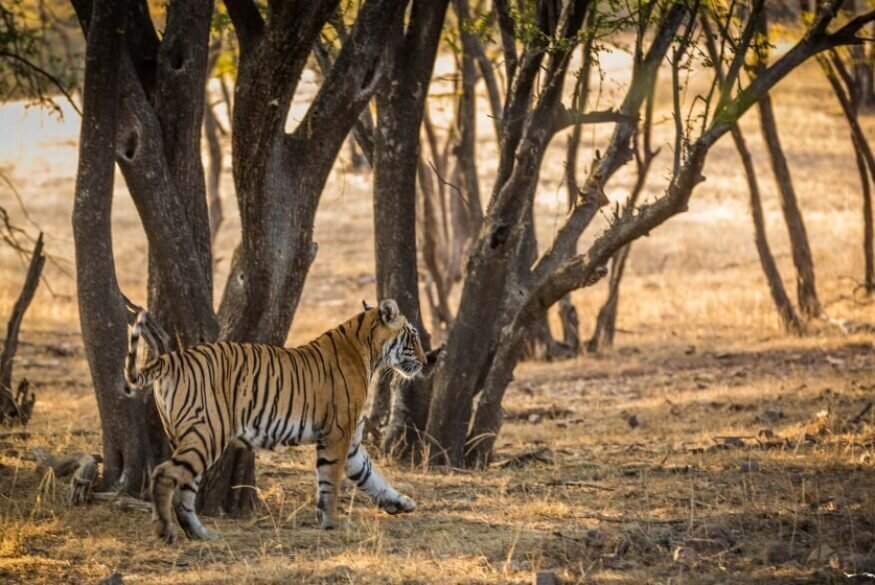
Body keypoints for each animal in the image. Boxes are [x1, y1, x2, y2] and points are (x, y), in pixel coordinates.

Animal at [122, 302, 424, 544]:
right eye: (413, 335)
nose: (424, 361)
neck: (368, 350)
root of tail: (172, 358)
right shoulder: (337, 434)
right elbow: (331, 482)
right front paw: (332, 523)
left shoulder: (350, 444)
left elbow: (372, 475)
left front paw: (401, 503)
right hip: (208, 434)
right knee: (164, 475)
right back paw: (166, 532)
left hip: (192, 437)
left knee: (184, 492)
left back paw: (201, 534)